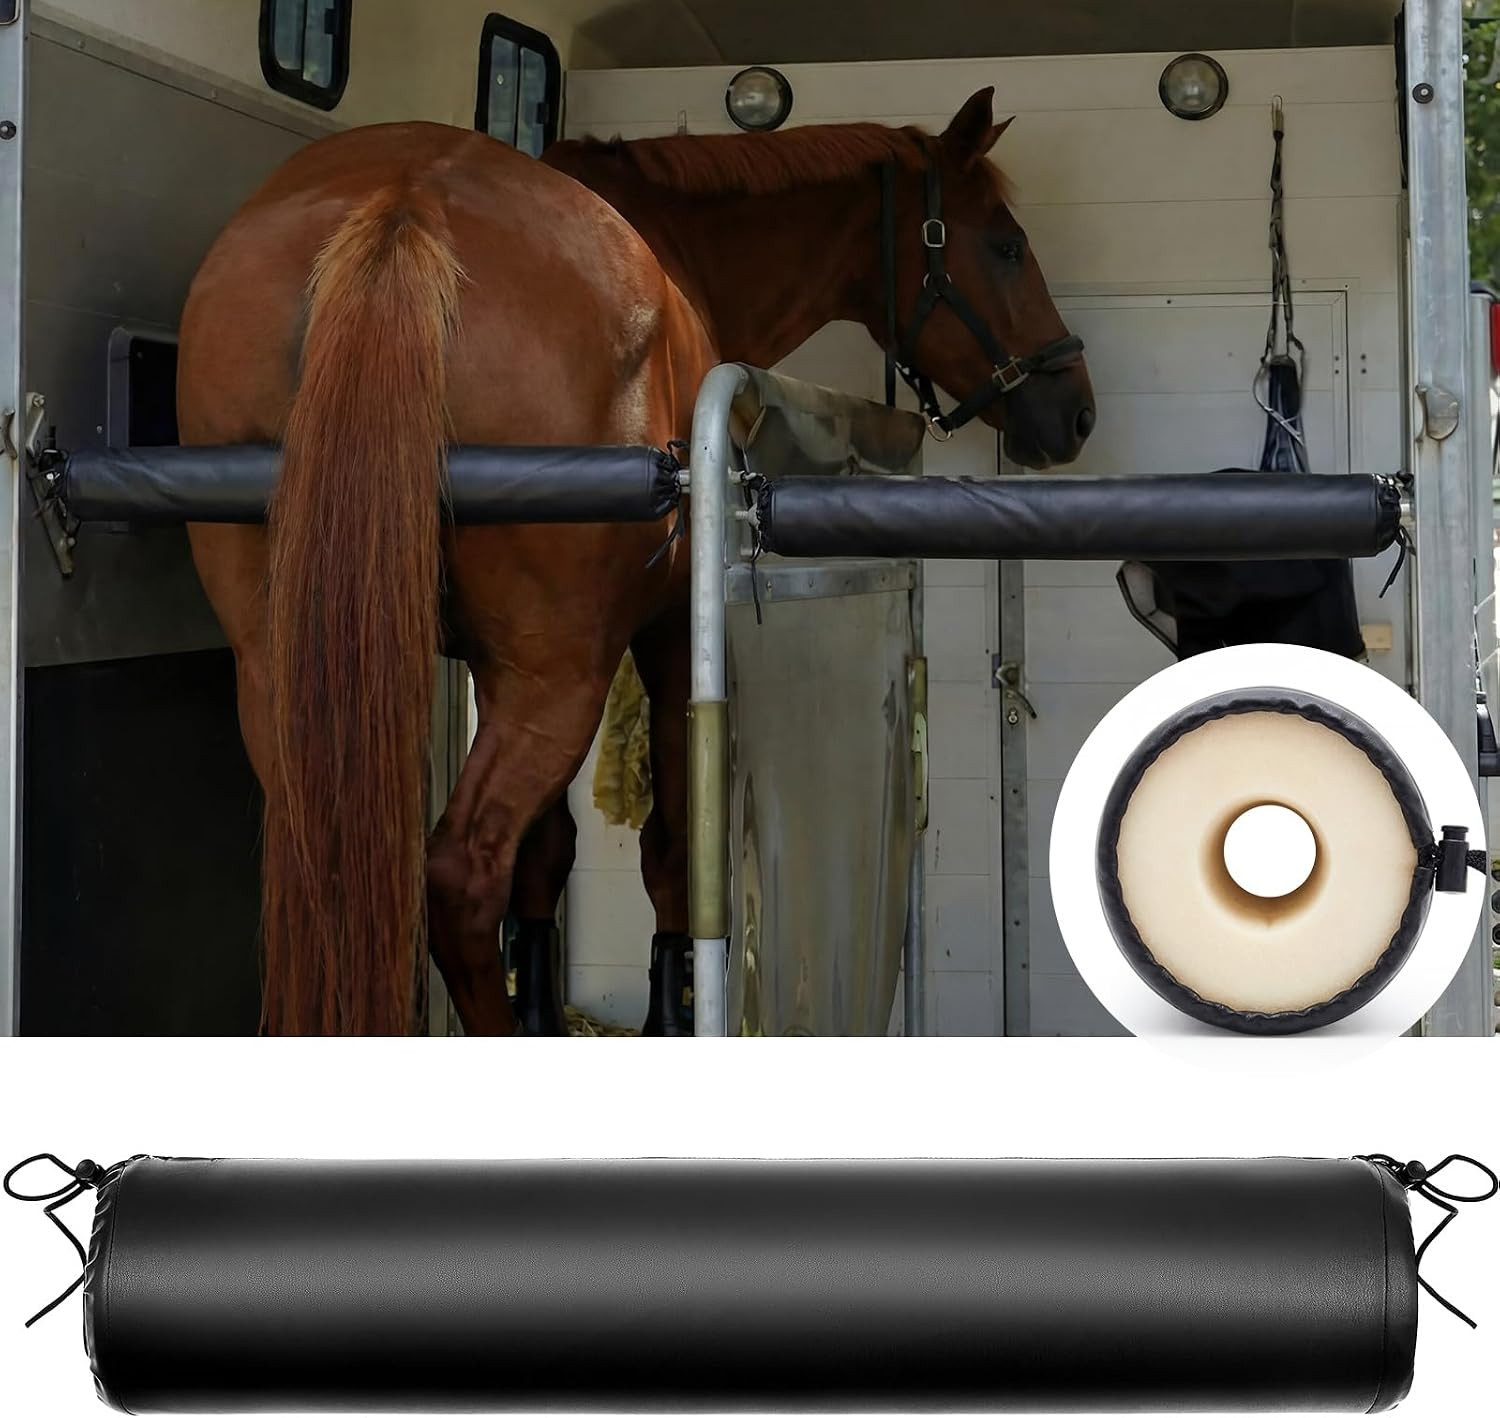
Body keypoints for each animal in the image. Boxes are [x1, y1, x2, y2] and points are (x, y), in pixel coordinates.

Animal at [176, 87, 1093, 1035]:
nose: (1076, 411)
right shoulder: (665, 642)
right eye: (1006, 245)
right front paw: (669, 1004)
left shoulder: (494, 667)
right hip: (559, 680)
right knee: (461, 874)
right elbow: (670, 851)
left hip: (286, 676)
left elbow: (547, 855)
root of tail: (403, 205)